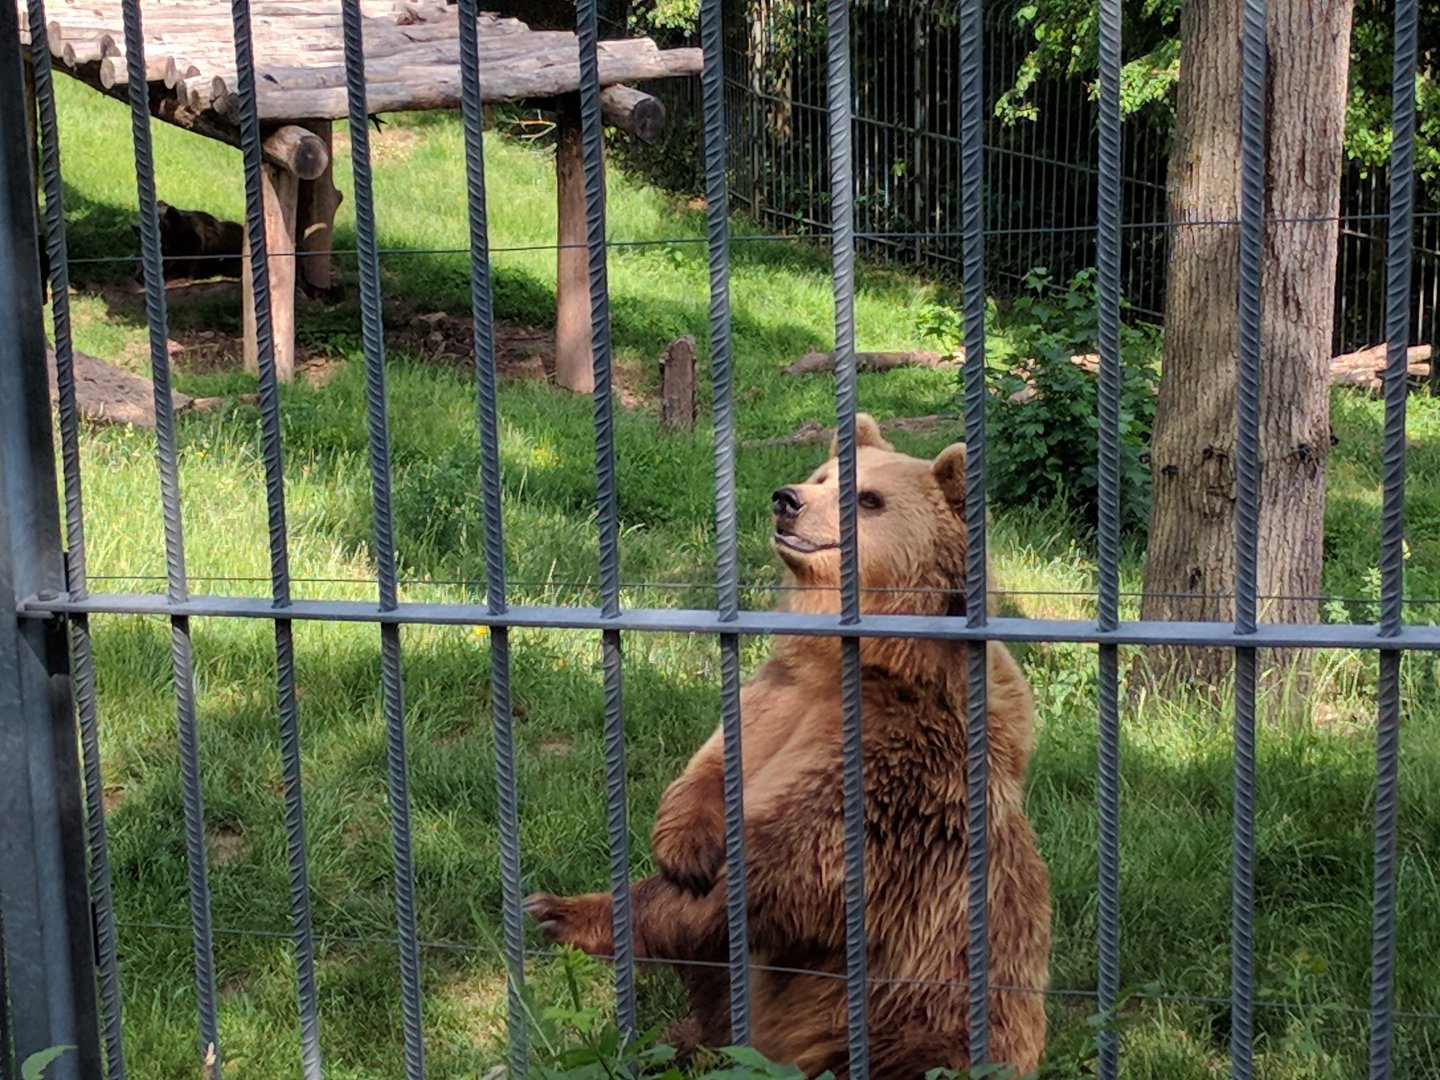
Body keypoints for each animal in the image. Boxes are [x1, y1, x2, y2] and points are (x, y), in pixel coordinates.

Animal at [526, 414, 1051, 1078]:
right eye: (822, 476)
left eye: (868, 499)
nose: (787, 500)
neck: (866, 655)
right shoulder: (783, 694)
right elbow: (717, 762)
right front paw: (683, 846)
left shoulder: (897, 764)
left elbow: (781, 869)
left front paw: (558, 910)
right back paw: (684, 1040)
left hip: (915, 1019)